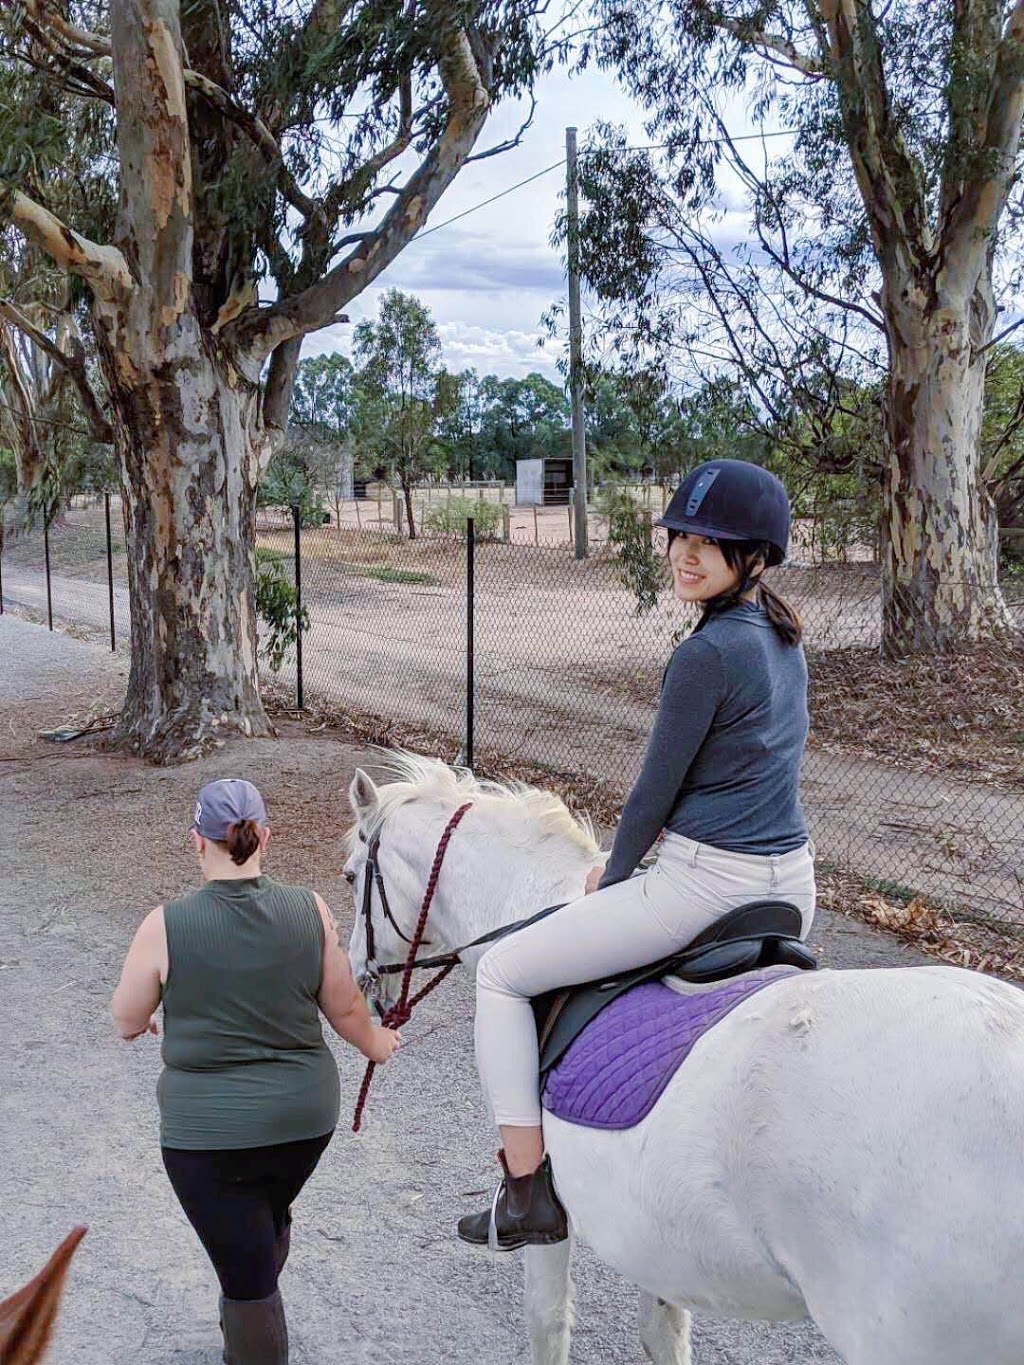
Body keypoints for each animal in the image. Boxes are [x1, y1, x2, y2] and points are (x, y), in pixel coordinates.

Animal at [345, 758, 1024, 1365]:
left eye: (352, 878)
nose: (357, 981)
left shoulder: (551, 1210)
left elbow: (548, 1321)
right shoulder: (655, 1230)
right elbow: (663, 1334)